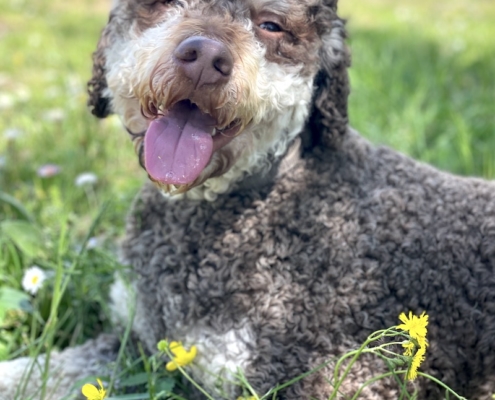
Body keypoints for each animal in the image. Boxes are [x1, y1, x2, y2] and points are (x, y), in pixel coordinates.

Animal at [0, 0, 495, 400]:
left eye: (271, 25)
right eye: (161, 2)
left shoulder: (325, 377)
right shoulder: (136, 345)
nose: (204, 59)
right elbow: (42, 371)